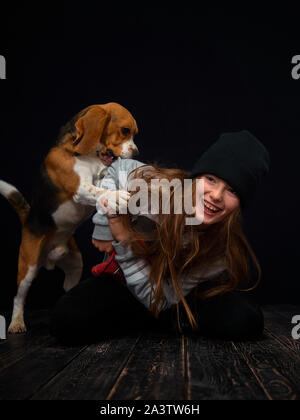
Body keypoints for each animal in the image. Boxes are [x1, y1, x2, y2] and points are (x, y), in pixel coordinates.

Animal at [0, 101, 138, 332]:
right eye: (125, 130)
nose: (136, 152)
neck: (88, 154)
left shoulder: (99, 174)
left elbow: (101, 182)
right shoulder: (79, 187)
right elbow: (96, 191)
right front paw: (117, 196)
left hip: (75, 263)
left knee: (68, 286)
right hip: (27, 266)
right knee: (18, 297)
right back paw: (17, 322)